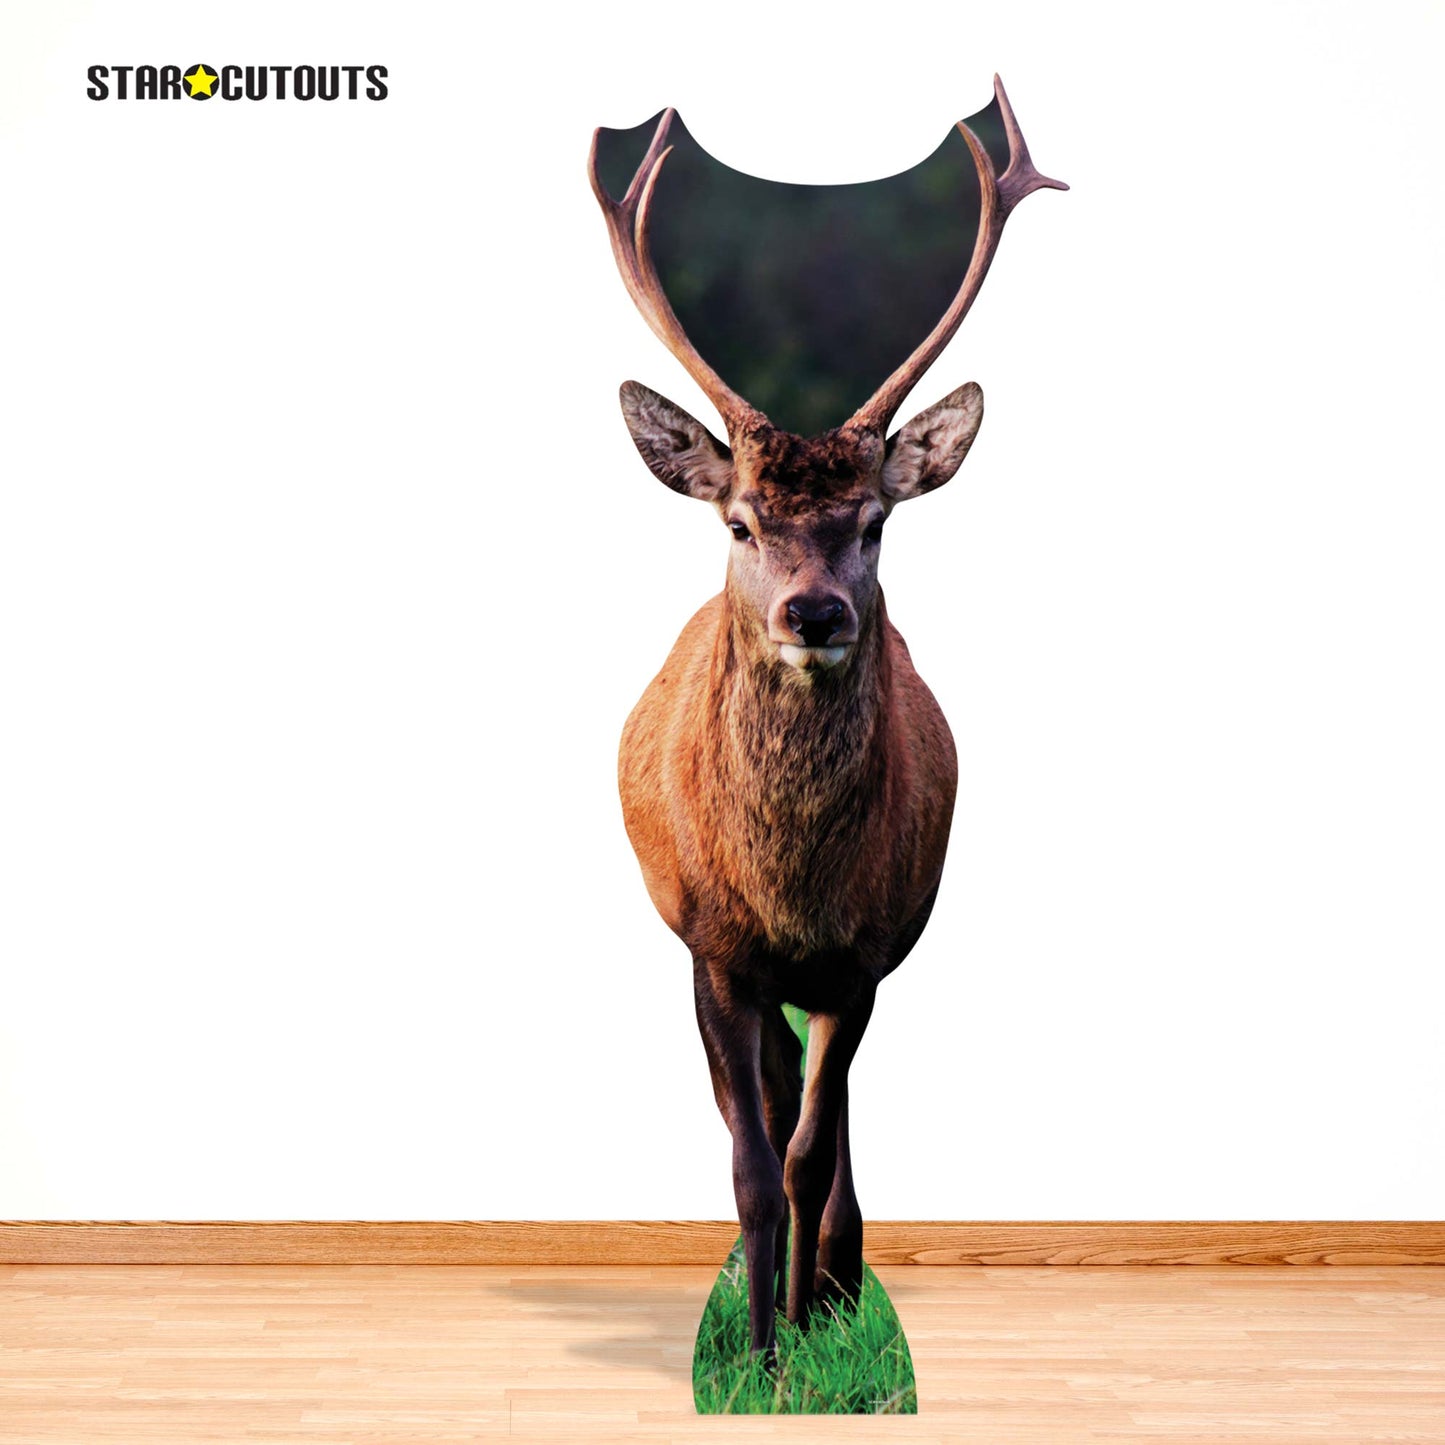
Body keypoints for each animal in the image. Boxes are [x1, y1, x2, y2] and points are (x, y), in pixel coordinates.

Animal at [589, 77, 1065, 1359]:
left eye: (873, 521)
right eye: (740, 521)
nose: (813, 610)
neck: (791, 884)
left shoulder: (863, 953)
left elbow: (806, 1156)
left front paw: (806, 1333)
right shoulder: (713, 946)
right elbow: (751, 1163)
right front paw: (757, 1350)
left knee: (834, 1132)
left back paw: (842, 1285)